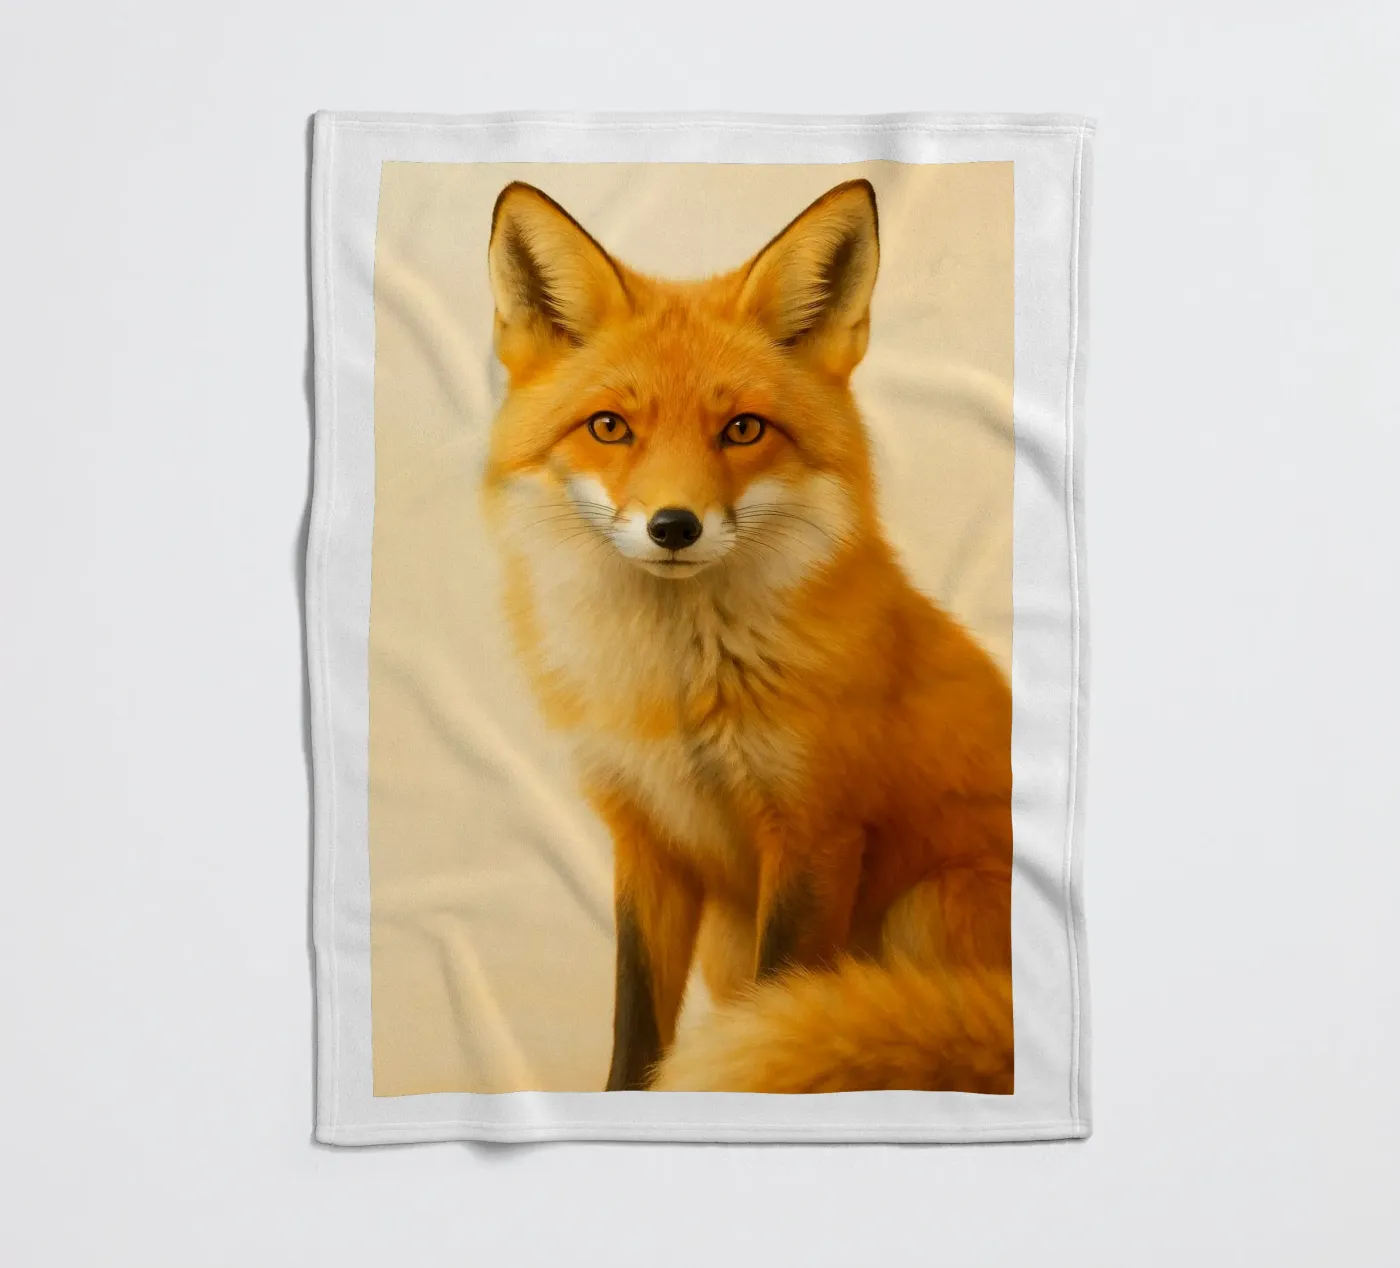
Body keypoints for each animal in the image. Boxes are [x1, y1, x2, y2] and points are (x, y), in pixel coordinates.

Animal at [482, 177, 1014, 1094]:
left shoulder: (815, 834)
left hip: (928, 908)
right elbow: (635, 1026)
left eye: (743, 429)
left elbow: (787, 999)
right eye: (610, 427)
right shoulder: (647, 841)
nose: (673, 527)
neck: (676, 692)